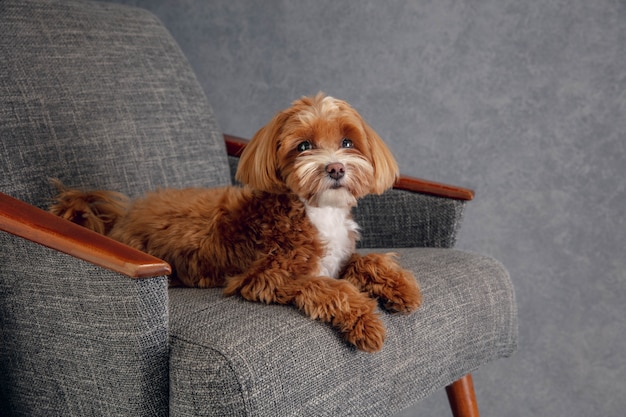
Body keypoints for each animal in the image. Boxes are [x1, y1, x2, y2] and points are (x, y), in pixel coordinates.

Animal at [48, 92, 420, 350]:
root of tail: (117, 221)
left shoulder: (338, 258)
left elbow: (365, 260)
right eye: (304, 146)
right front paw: (366, 323)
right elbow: (330, 286)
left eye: (347, 142)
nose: (336, 168)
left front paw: (400, 287)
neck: (316, 211)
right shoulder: (268, 278)